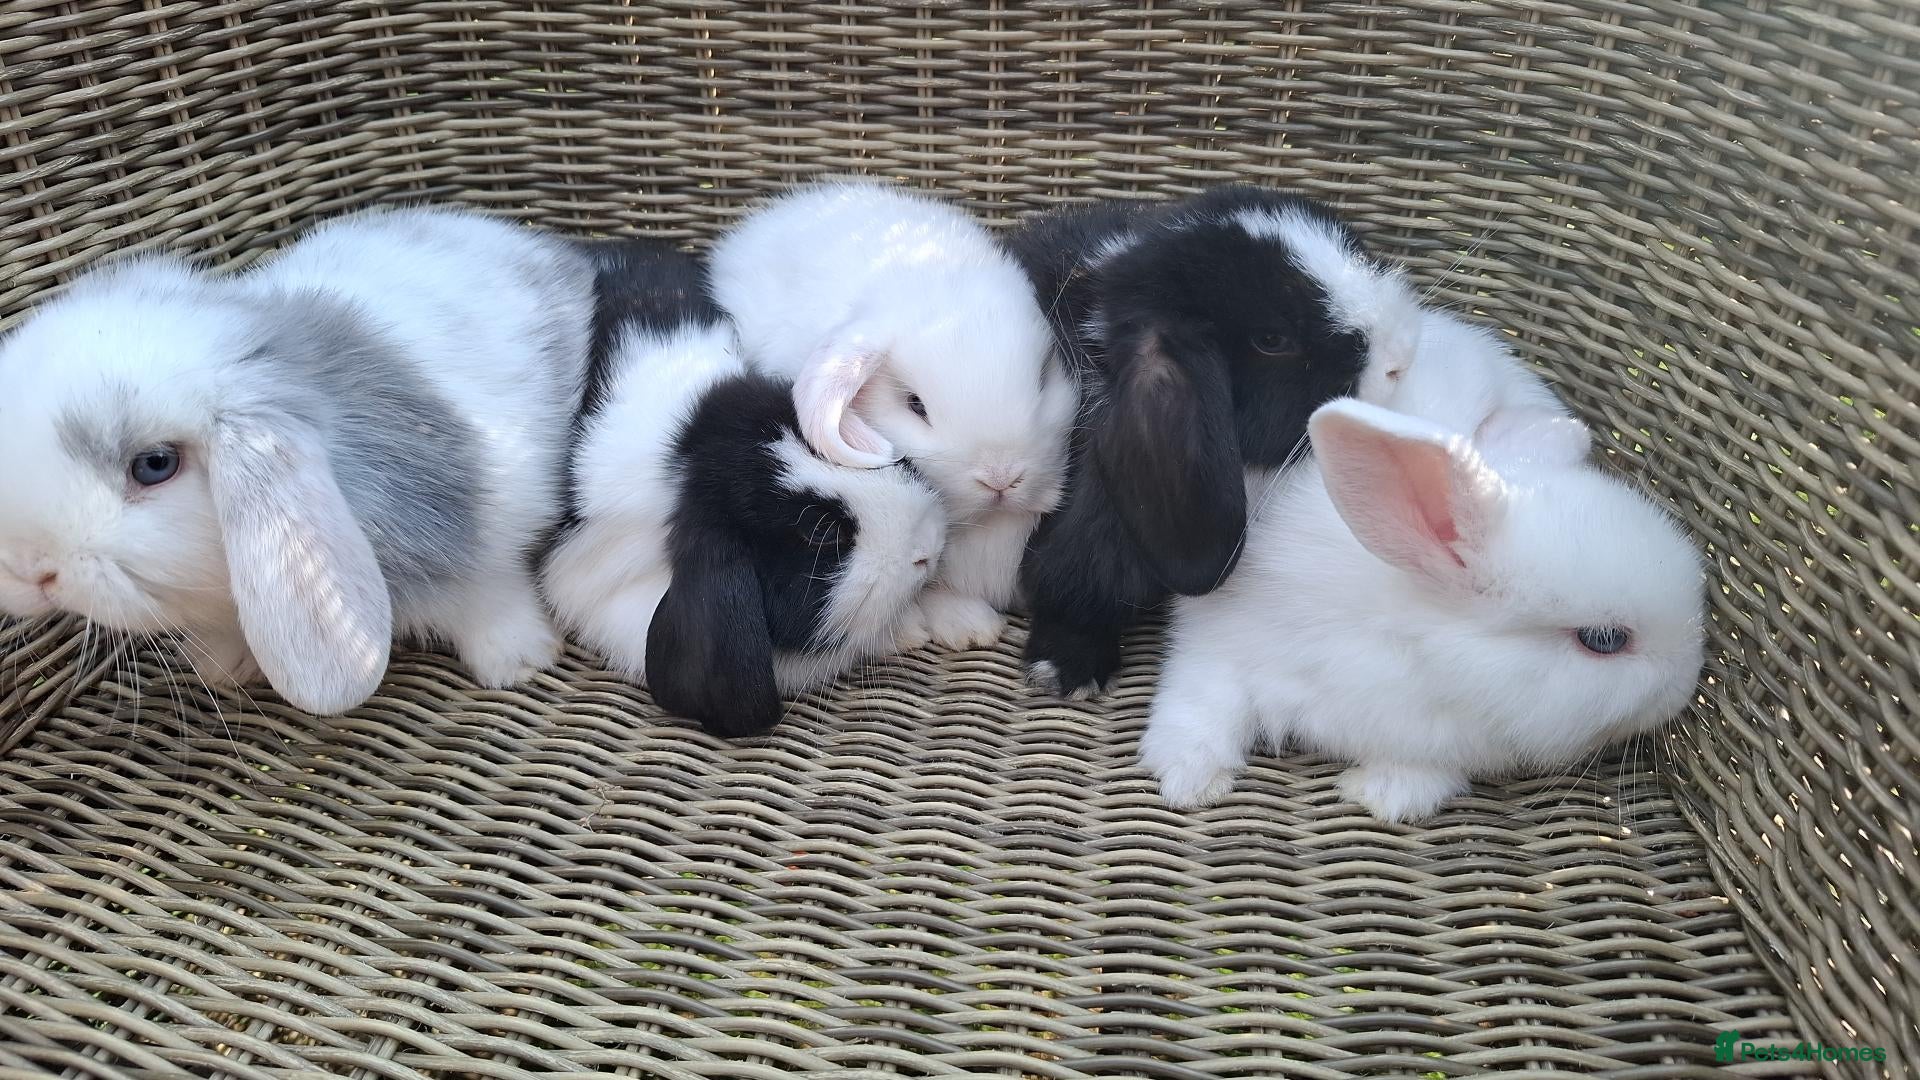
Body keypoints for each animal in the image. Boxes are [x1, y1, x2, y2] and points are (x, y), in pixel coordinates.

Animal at [0, 205, 595, 715]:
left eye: (154, 464)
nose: (30, 570)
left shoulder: (490, 548)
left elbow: (490, 598)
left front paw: (520, 662)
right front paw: (221, 667)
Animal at [1139, 310, 1706, 822]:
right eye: (1604, 640)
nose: (1685, 688)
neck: (1409, 636)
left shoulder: (1447, 742)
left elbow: (1423, 775)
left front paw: (1379, 794)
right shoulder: (1220, 636)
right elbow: (1201, 701)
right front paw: (1190, 780)